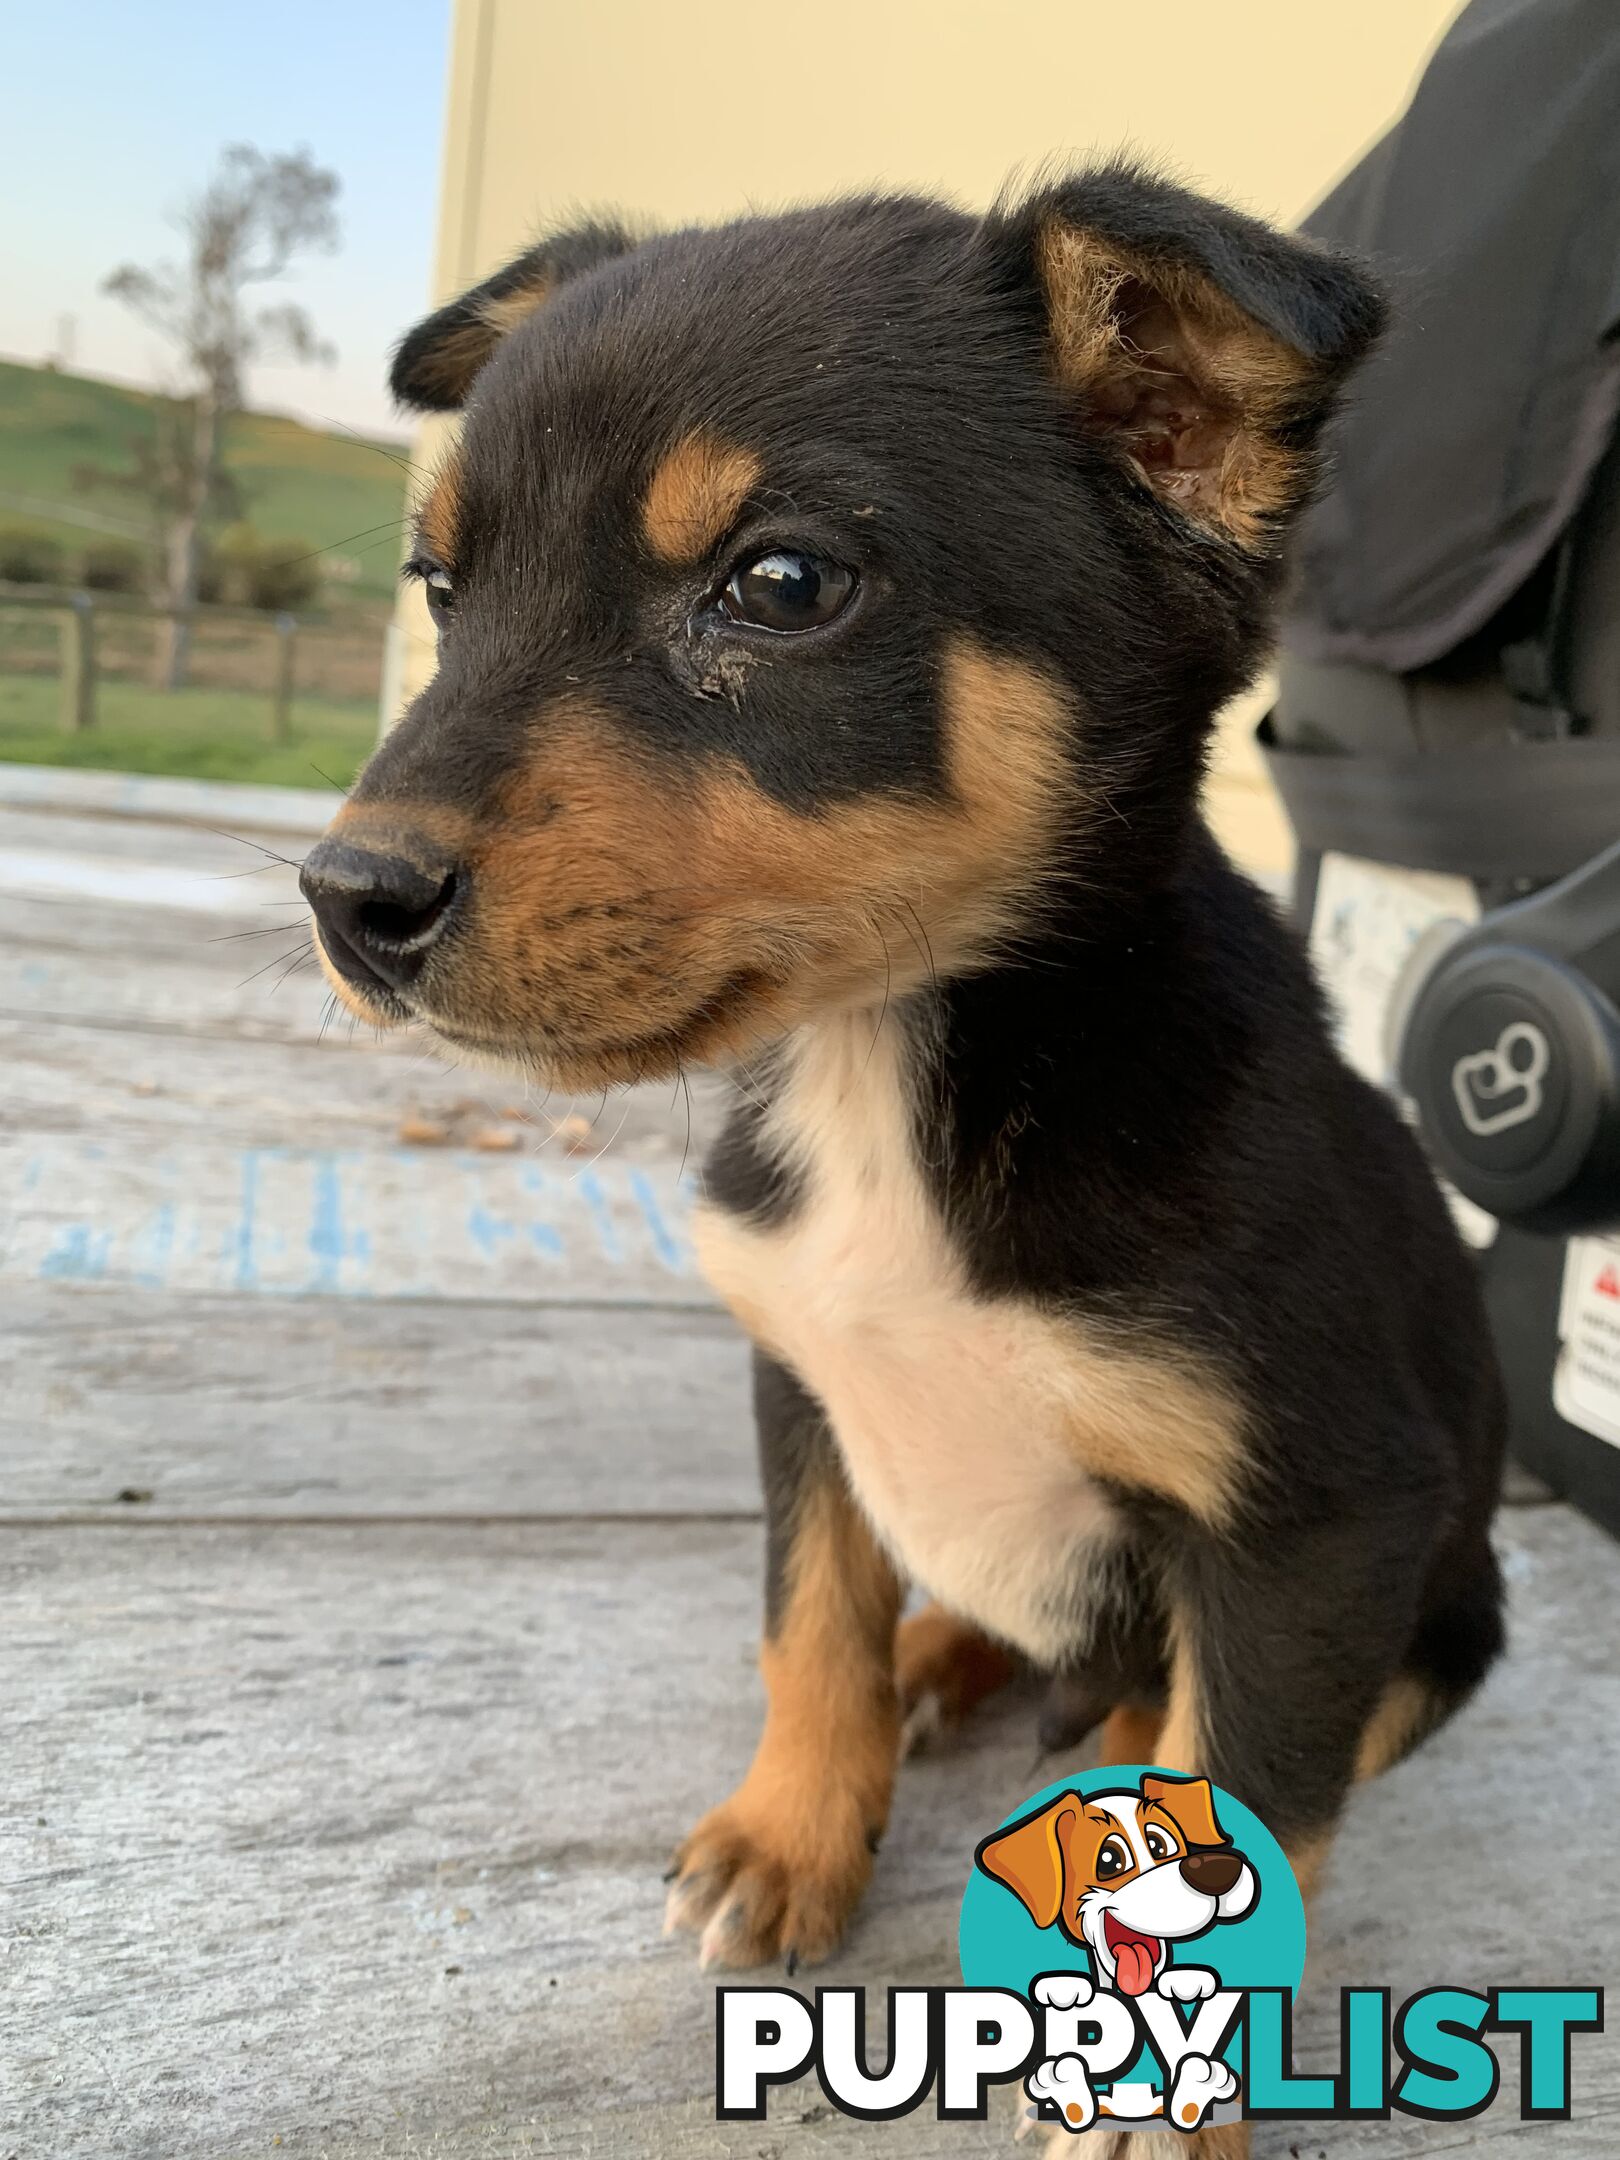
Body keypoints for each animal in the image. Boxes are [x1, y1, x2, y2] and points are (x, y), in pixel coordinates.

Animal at [302, 164, 1512, 2142]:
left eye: (779, 584)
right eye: (442, 584)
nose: (349, 901)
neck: (895, 1067)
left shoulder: (1327, 1515)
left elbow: (1254, 1774)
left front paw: (1152, 2087)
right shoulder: (802, 1378)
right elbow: (812, 1618)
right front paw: (790, 1839)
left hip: (1448, 1612)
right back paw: (949, 1657)